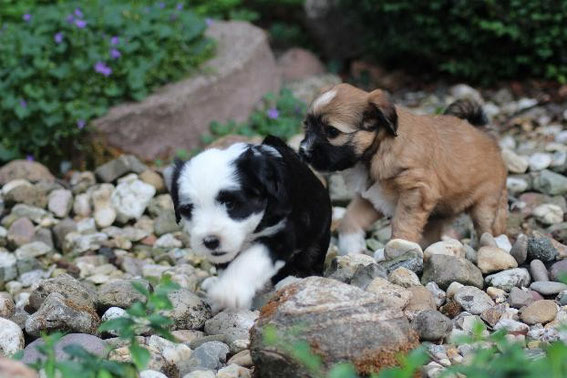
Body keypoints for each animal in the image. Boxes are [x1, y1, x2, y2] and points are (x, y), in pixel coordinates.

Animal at [164, 136, 332, 310]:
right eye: (188, 209)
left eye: (230, 203)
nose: (210, 241)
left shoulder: (280, 234)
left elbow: (251, 260)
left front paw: (229, 291)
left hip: (317, 238)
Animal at [300, 83, 508, 254]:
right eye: (306, 126)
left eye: (332, 131)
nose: (303, 152)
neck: (377, 151)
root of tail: (483, 132)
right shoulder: (370, 198)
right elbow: (350, 219)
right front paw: (351, 247)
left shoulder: (416, 192)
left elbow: (403, 223)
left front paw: (399, 248)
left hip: (486, 201)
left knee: (488, 226)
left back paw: (496, 245)